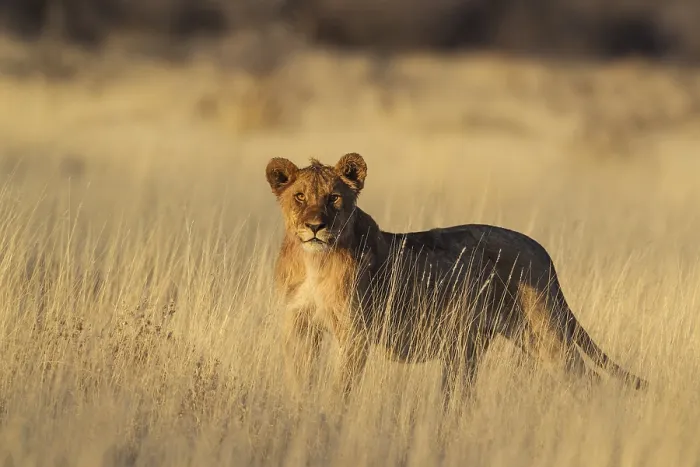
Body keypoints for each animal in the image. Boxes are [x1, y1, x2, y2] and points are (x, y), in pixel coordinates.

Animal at [265, 153, 647, 404]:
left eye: (334, 198)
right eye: (299, 196)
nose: (316, 226)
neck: (315, 262)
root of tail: (540, 250)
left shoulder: (355, 329)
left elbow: (341, 387)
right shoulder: (297, 323)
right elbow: (299, 378)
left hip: (545, 327)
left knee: (584, 376)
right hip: (487, 341)